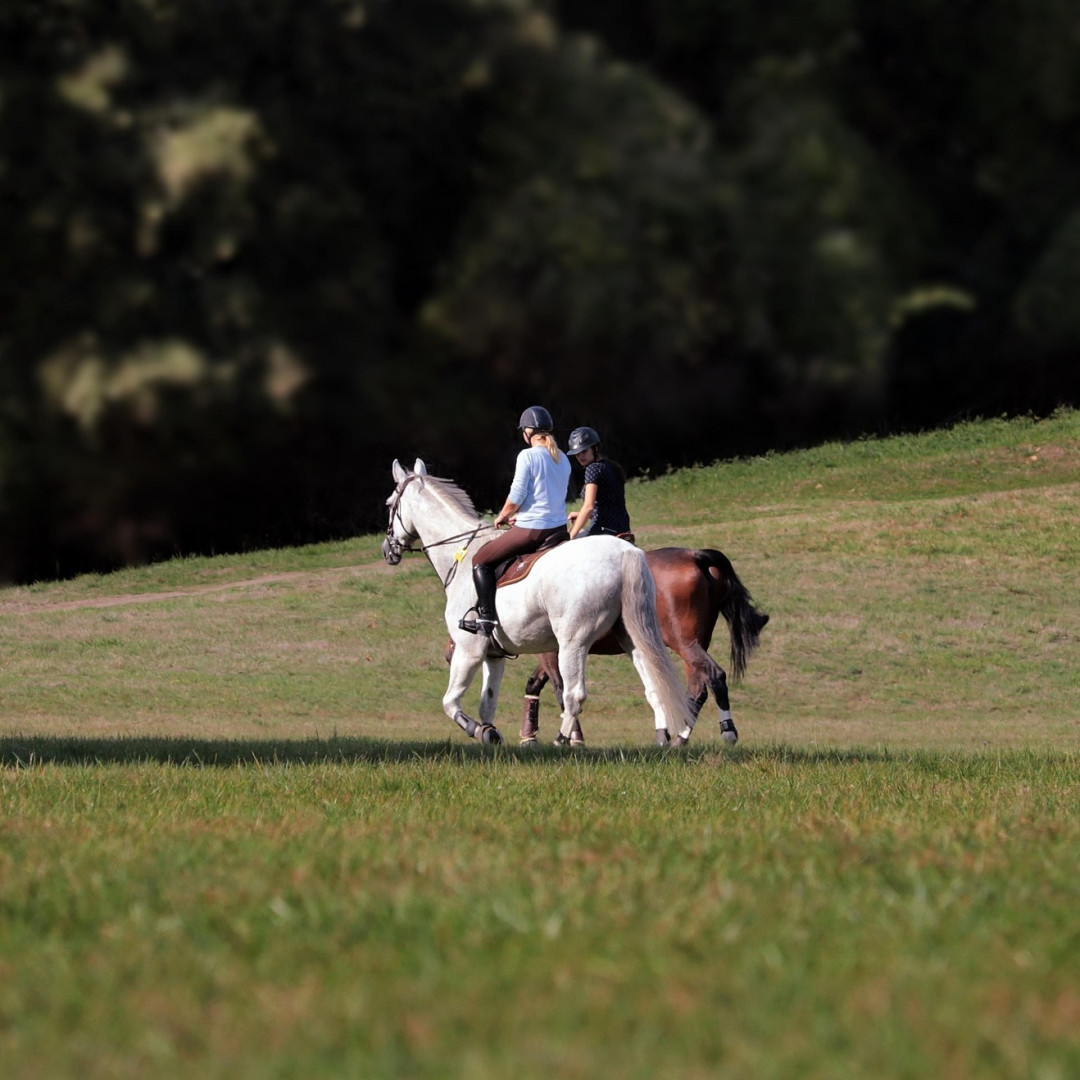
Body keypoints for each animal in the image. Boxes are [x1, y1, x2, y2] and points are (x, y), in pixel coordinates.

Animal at [382, 459, 693, 746]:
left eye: (389, 504)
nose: (387, 550)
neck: (460, 555)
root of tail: (625, 552)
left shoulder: (468, 650)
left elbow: (450, 702)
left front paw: (477, 730)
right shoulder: (494, 655)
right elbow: (487, 704)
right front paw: (490, 734)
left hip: (572, 643)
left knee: (574, 694)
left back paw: (561, 740)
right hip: (631, 637)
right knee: (654, 684)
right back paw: (662, 738)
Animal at [519, 547, 769, 748]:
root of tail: (694, 555)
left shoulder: (554, 651)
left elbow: (560, 689)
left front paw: (572, 737)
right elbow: (534, 684)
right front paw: (529, 735)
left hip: (685, 643)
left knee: (714, 675)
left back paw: (724, 730)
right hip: (695, 644)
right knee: (698, 687)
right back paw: (680, 737)